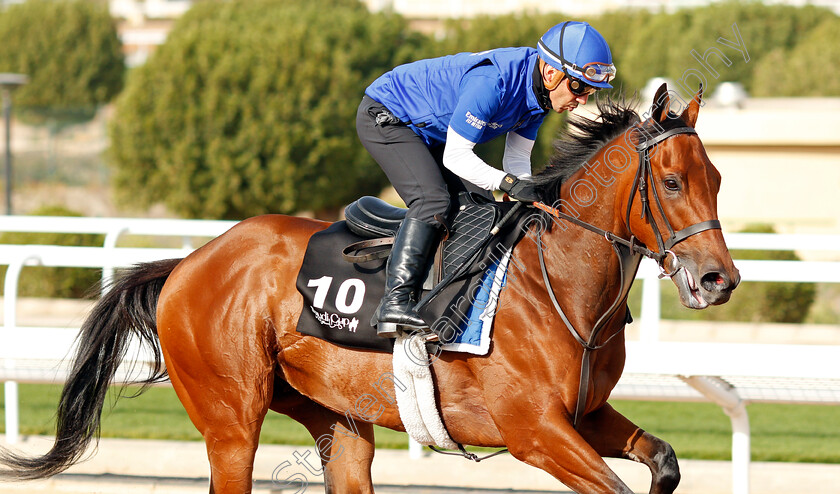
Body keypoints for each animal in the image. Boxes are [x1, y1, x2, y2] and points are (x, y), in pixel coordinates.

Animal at [0, 86, 736, 494]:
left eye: (718, 179)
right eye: (673, 182)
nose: (718, 280)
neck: (556, 284)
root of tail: (188, 262)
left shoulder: (584, 415)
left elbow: (665, 462)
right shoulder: (534, 431)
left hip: (337, 420)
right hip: (230, 420)